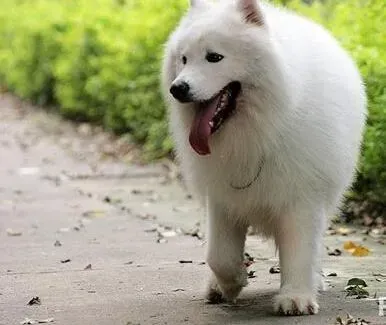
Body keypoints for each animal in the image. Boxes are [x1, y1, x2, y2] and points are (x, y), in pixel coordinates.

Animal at [161, 0, 366, 316]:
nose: (178, 88)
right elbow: (218, 254)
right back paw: (216, 287)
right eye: (183, 59)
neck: (261, 128)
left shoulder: (302, 197)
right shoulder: (223, 197)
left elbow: (299, 251)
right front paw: (232, 283)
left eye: (214, 57)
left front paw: (295, 298)